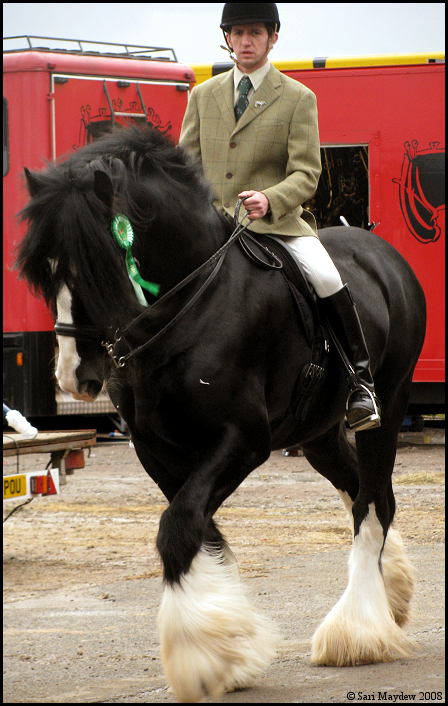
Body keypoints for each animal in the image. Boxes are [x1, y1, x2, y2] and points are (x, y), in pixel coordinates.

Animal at [15, 125, 426, 700]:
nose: (77, 377)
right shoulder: (156, 449)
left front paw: (203, 658)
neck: (187, 310)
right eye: (46, 271)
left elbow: (179, 524)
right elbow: (197, 527)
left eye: (99, 264)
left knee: (374, 503)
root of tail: (378, 249)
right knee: (361, 489)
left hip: (387, 403)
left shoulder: (242, 440)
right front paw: (230, 646)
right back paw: (391, 596)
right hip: (318, 433)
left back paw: (358, 631)